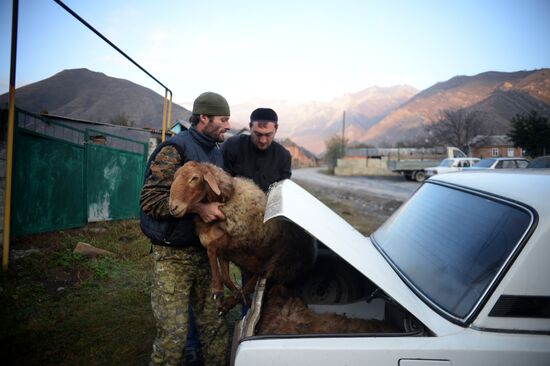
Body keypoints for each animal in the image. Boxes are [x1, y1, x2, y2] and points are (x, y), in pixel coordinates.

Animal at [168, 162, 316, 314]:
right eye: (175, 176)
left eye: (195, 178)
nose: (173, 207)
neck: (227, 200)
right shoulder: (225, 252)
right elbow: (225, 276)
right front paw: (229, 292)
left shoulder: (238, 242)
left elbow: (212, 248)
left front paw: (217, 288)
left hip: (276, 265)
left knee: (256, 282)